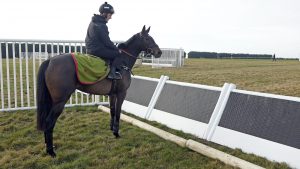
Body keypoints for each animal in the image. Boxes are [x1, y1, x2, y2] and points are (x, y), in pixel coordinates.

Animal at [36, 25, 162, 158]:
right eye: (147, 38)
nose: (159, 52)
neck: (122, 61)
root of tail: (50, 60)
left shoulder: (112, 94)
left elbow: (112, 111)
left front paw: (112, 130)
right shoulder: (121, 94)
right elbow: (118, 112)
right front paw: (117, 133)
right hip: (60, 101)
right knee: (49, 122)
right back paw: (51, 151)